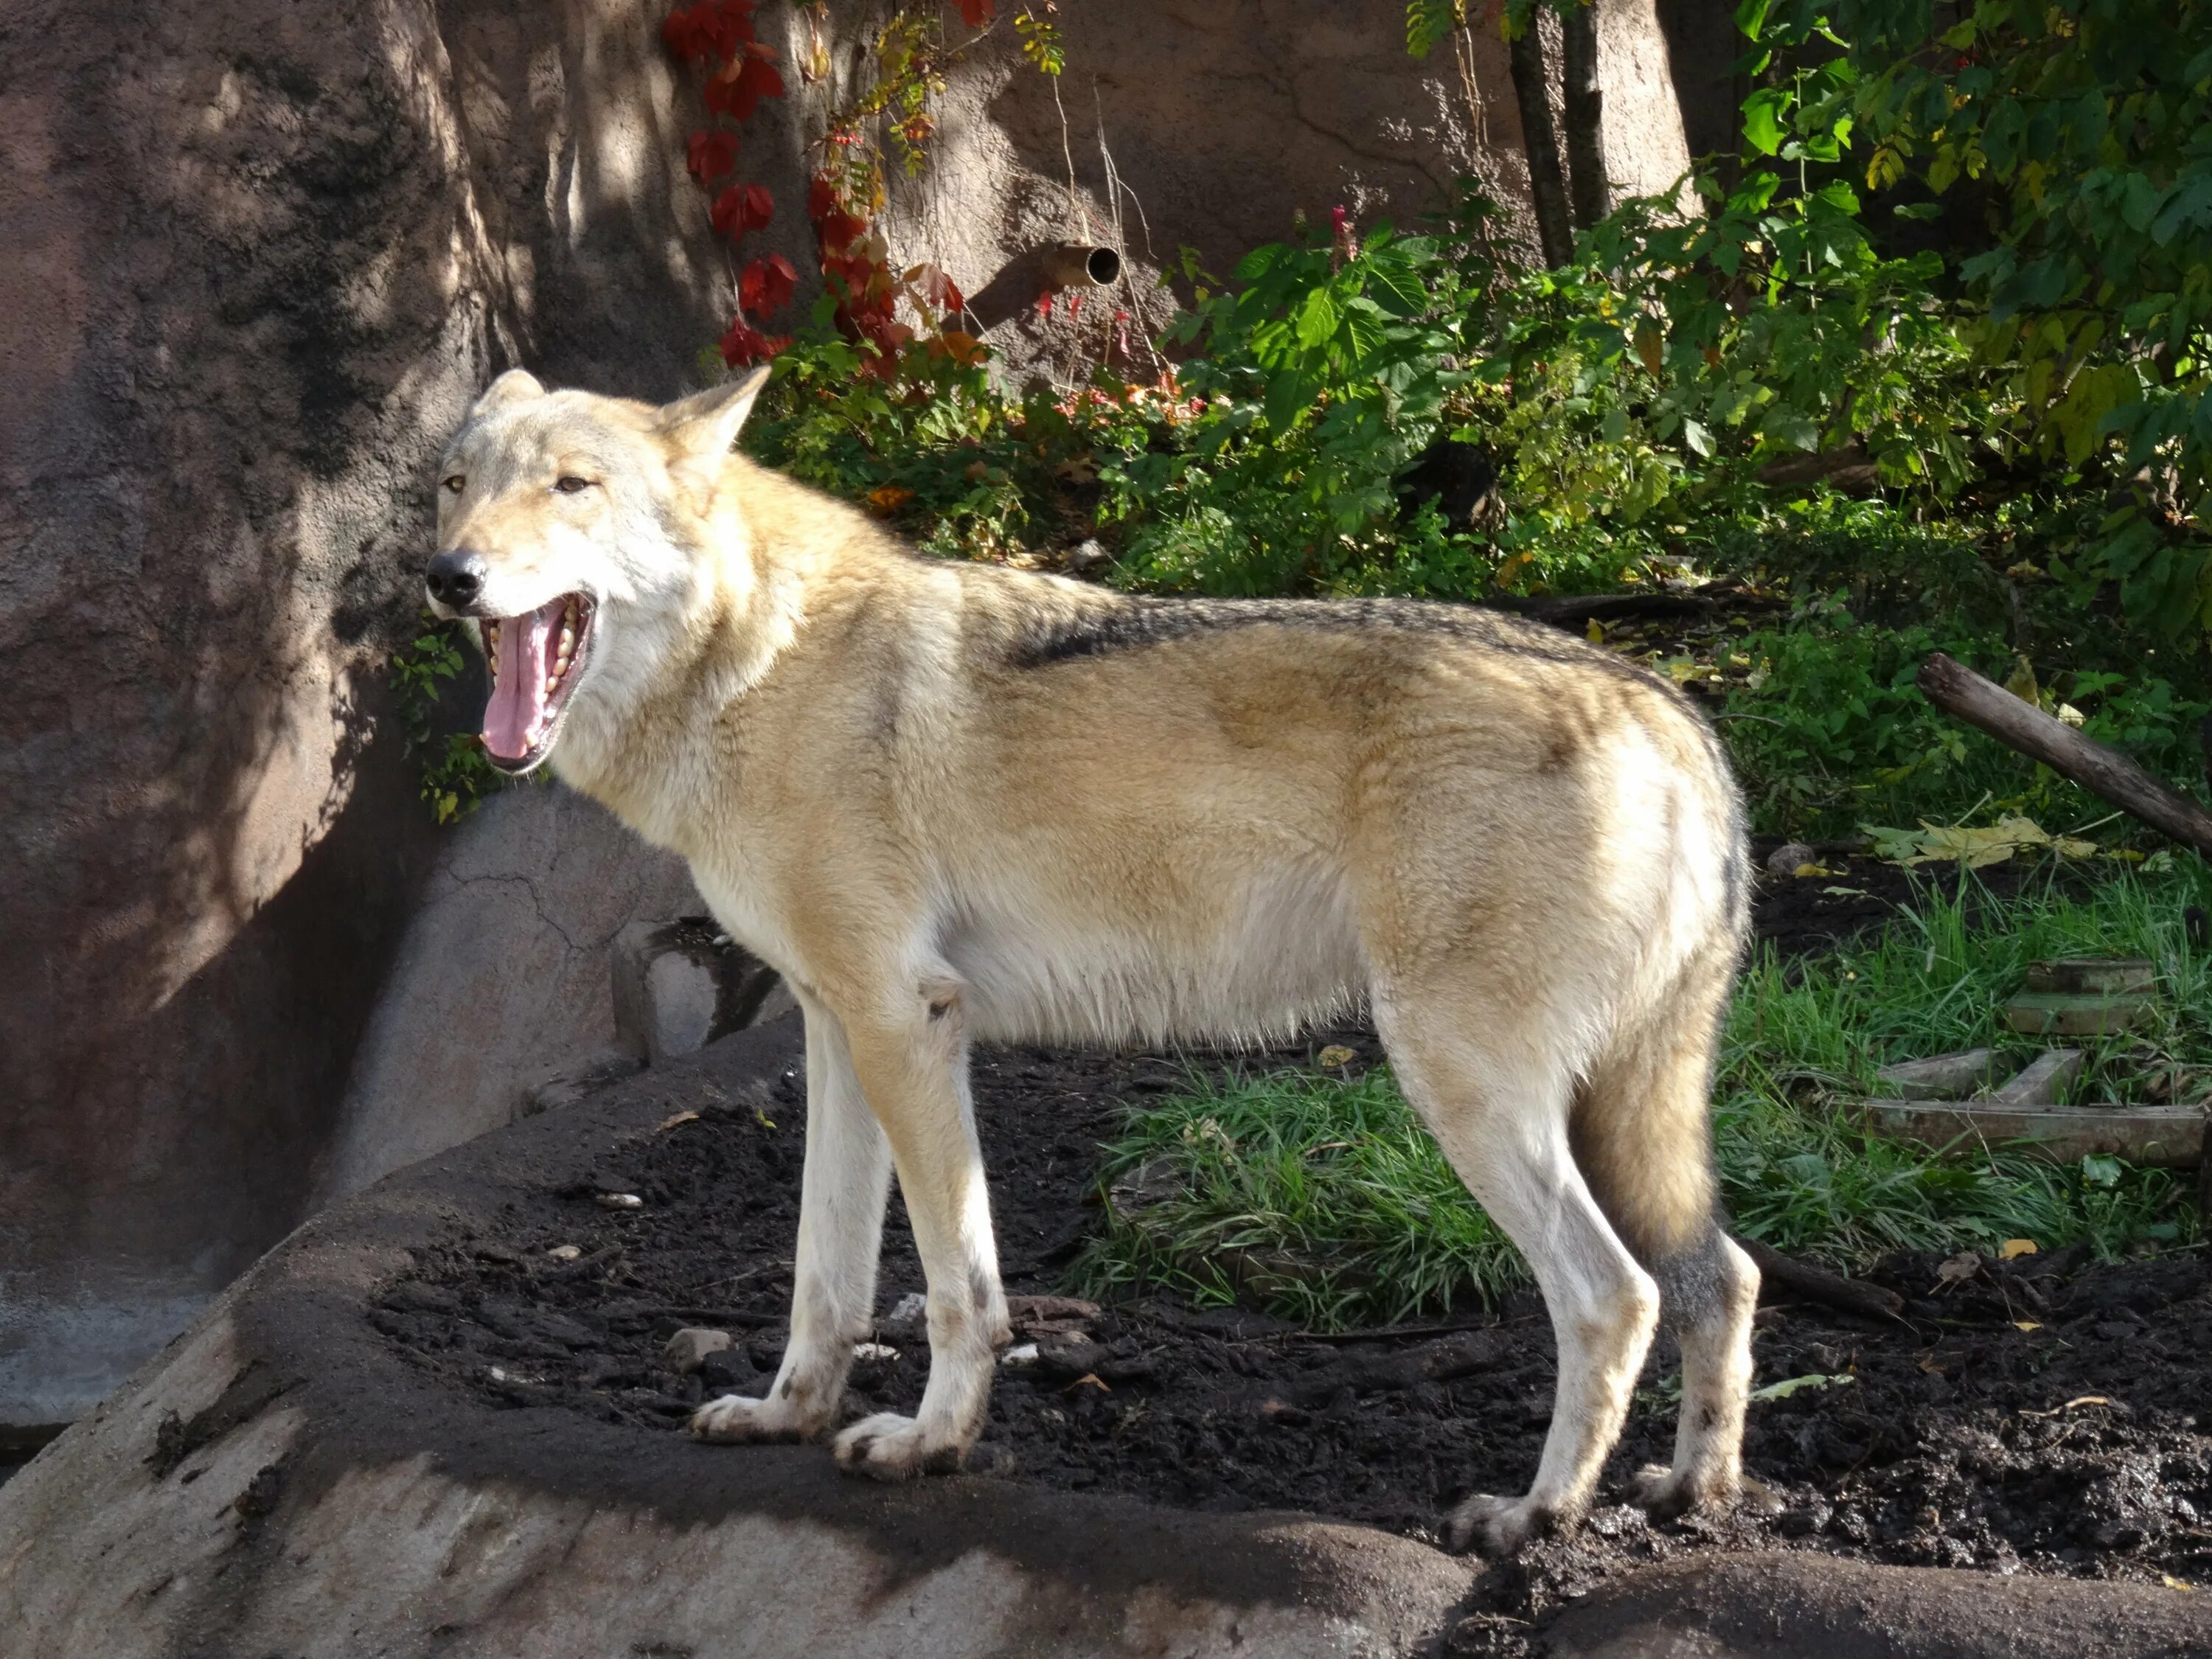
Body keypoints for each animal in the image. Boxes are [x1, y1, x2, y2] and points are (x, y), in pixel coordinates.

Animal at [422, 367, 1752, 1557]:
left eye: (572, 485)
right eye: (456, 485)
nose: (450, 577)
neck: (759, 660)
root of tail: (1671, 705)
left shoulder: (907, 1022)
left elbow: (958, 1287)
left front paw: (927, 1444)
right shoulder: (835, 1029)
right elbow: (825, 1275)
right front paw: (788, 1415)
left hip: (1462, 1088)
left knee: (1616, 1296)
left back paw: (1536, 1517)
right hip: (1608, 1113)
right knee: (1723, 1278)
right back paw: (1694, 1494)